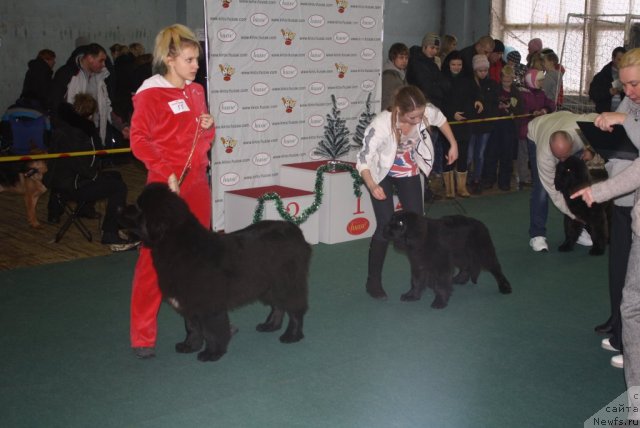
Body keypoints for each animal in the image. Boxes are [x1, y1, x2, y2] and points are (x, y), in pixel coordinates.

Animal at [121, 182, 312, 362]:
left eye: (139, 207)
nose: (120, 208)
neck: (180, 246)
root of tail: (295, 230)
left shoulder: (208, 304)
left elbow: (211, 331)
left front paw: (211, 353)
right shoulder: (189, 302)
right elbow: (191, 327)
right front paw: (190, 346)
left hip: (288, 282)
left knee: (295, 309)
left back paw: (292, 335)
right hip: (269, 285)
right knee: (278, 306)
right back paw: (270, 326)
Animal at [382, 212, 512, 310]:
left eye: (400, 223)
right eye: (391, 219)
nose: (385, 228)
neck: (422, 238)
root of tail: (480, 224)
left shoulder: (442, 265)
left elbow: (441, 284)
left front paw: (440, 302)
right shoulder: (418, 265)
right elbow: (416, 281)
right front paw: (412, 295)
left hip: (483, 252)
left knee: (496, 268)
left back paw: (505, 287)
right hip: (459, 254)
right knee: (466, 266)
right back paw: (459, 279)